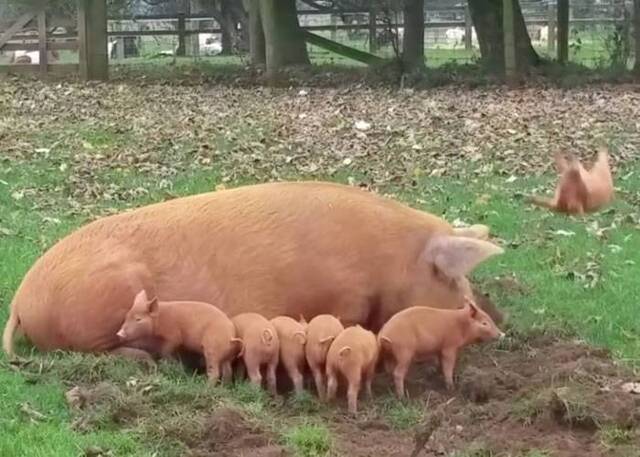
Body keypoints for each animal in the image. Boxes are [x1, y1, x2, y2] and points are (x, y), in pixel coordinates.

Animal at [3, 181, 504, 356]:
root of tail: (20, 302)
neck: (386, 258)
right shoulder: (338, 295)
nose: (497, 324)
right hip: (114, 300)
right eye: (455, 280)